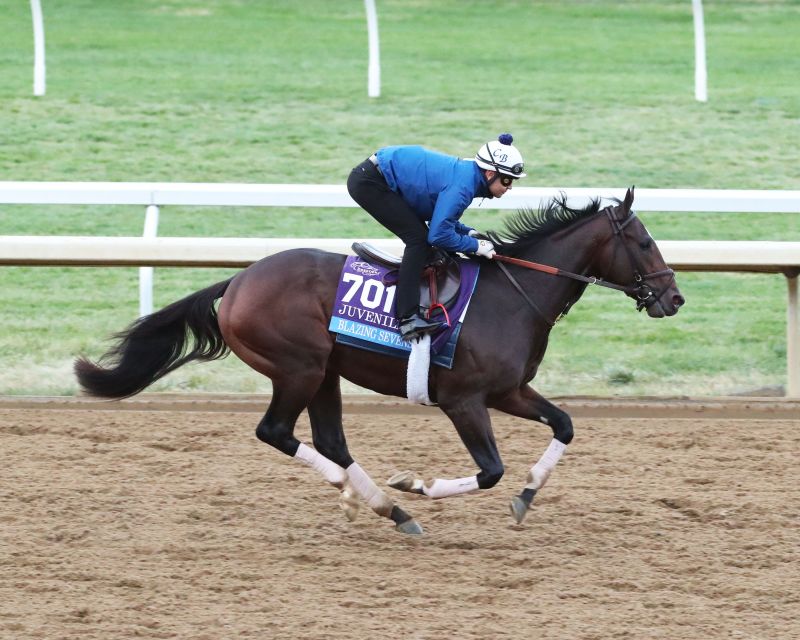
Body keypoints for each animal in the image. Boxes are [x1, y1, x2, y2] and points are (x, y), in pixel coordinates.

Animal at [75, 187, 684, 535]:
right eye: (644, 243)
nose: (673, 298)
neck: (512, 296)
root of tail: (239, 281)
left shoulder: (509, 391)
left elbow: (564, 424)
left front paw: (527, 496)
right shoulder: (463, 400)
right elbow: (490, 470)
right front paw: (418, 486)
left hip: (324, 373)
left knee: (330, 441)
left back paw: (380, 507)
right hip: (299, 367)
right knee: (277, 432)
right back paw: (384, 503)